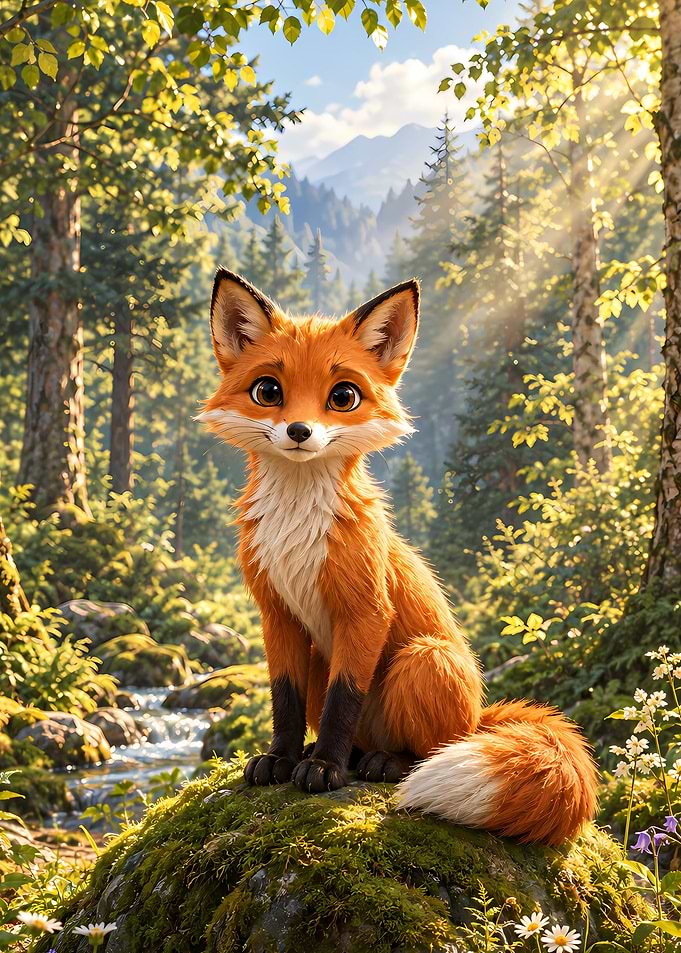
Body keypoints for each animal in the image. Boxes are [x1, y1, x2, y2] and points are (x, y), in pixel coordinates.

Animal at [199, 268, 599, 845]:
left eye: (343, 396)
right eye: (268, 391)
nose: (299, 432)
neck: (297, 529)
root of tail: (479, 716)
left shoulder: (366, 609)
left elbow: (343, 702)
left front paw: (323, 768)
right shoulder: (276, 614)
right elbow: (285, 701)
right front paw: (281, 760)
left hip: (424, 658)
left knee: (429, 747)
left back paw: (384, 763)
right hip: (328, 658)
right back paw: (356, 757)